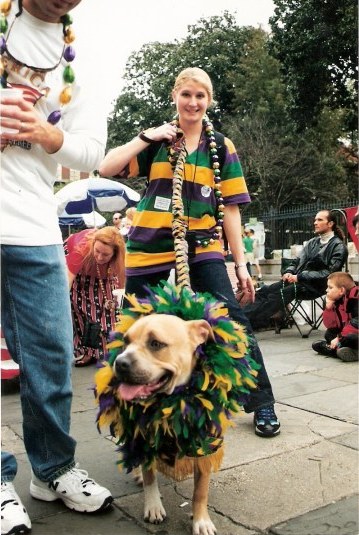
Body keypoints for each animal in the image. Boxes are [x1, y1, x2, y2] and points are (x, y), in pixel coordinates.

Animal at [113, 314, 219, 535]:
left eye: (155, 343)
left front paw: (201, 520)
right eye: (125, 342)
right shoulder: (143, 438)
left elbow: (200, 491)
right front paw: (153, 506)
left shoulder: (206, 445)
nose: (120, 362)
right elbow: (149, 476)